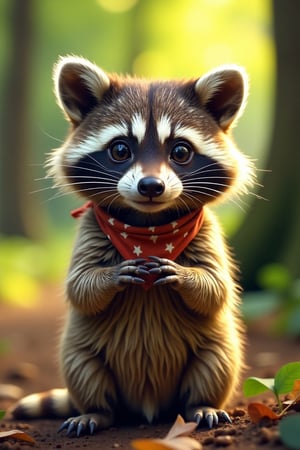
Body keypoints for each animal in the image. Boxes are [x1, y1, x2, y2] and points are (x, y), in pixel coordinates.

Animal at [11, 56, 255, 436]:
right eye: (120, 149)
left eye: (180, 151)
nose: (151, 186)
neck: (147, 225)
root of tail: (147, 407)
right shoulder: (89, 229)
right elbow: (79, 287)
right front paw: (111, 275)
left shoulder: (209, 232)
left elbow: (218, 287)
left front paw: (186, 275)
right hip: (81, 353)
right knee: (84, 369)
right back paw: (97, 411)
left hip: (217, 348)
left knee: (215, 363)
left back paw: (201, 404)